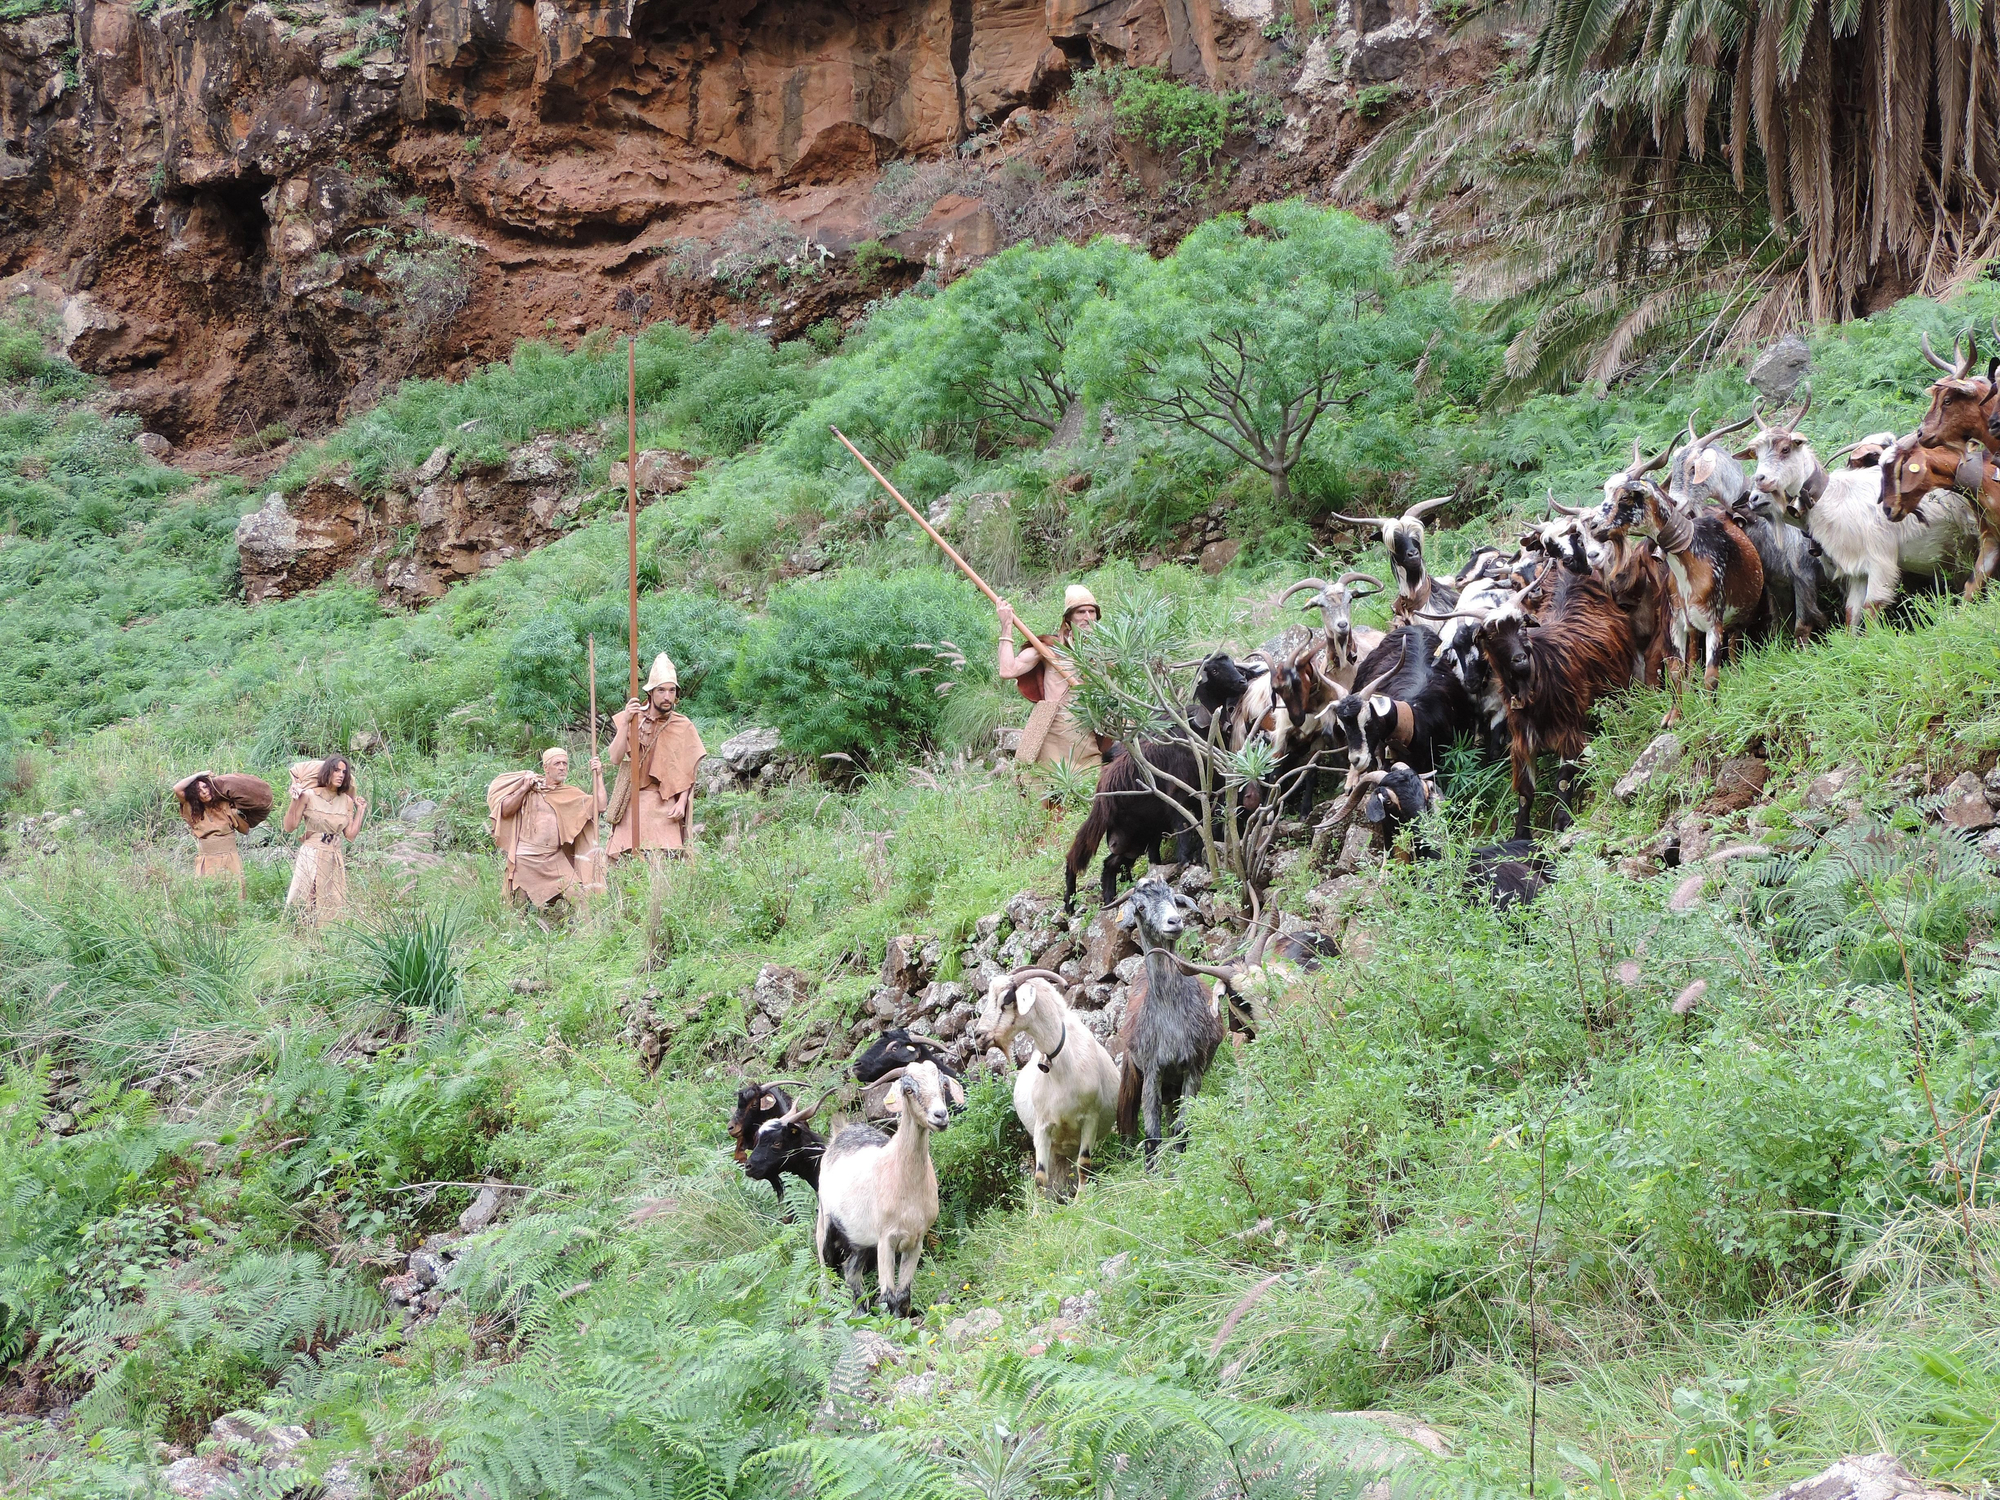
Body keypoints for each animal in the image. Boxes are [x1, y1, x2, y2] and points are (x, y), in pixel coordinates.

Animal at [814, 1060, 952, 1318]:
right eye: (909, 1090)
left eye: (943, 1085)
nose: (940, 1115)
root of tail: (841, 1132)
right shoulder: (886, 1239)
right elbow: (887, 1296)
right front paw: (891, 1324)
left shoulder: (916, 1239)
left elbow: (903, 1294)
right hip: (825, 1224)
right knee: (826, 1277)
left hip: (861, 1241)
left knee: (850, 1271)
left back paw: (860, 1312)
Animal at [975, 968, 1121, 1199]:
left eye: (1007, 998)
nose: (979, 1036)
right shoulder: (1043, 1126)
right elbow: (1040, 1177)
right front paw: (1040, 1208)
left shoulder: (1091, 1118)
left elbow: (1084, 1164)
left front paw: (1081, 1200)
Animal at [1112, 875, 1226, 1166]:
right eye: (1140, 907)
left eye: (1174, 899)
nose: (1174, 922)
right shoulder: (1153, 1070)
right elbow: (1153, 1137)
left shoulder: (1194, 1067)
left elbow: (1181, 1131)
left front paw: (1179, 1172)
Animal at [1742, 413, 1979, 626]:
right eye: (1757, 455)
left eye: (1785, 449)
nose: (1754, 496)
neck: (1835, 499)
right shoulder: (1857, 569)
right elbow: (1851, 612)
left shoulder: (1880, 561)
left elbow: (1870, 607)